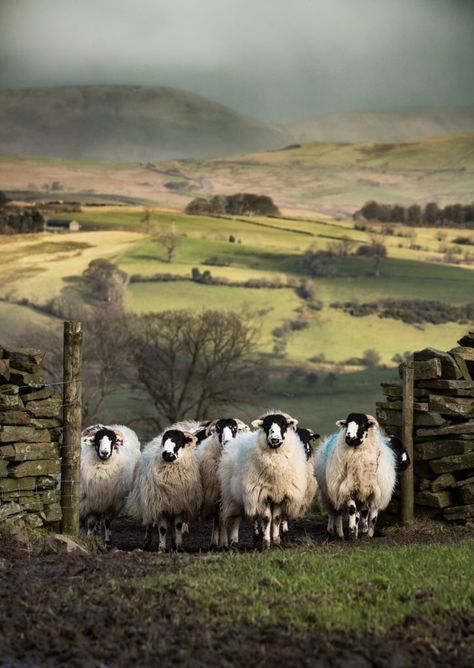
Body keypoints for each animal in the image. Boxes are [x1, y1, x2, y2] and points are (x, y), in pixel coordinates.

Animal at [195, 418, 250, 548]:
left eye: (234, 428)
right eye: (218, 428)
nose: (227, 441)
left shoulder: (233, 493)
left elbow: (235, 517)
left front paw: (234, 540)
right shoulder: (217, 495)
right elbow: (220, 519)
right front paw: (224, 542)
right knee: (217, 519)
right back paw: (215, 542)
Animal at [218, 412, 308, 548]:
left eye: (283, 425)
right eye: (266, 425)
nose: (275, 439)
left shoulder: (279, 494)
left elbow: (276, 518)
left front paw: (276, 541)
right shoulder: (262, 494)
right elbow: (266, 518)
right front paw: (266, 543)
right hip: (236, 496)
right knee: (241, 518)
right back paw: (241, 541)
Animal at [314, 410, 396, 540]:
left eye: (362, 424)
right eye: (347, 424)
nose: (349, 438)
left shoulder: (370, 490)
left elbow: (368, 514)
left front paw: (366, 532)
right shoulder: (347, 488)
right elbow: (352, 510)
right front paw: (352, 530)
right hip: (329, 493)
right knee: (334, 513)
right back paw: (335, 532)